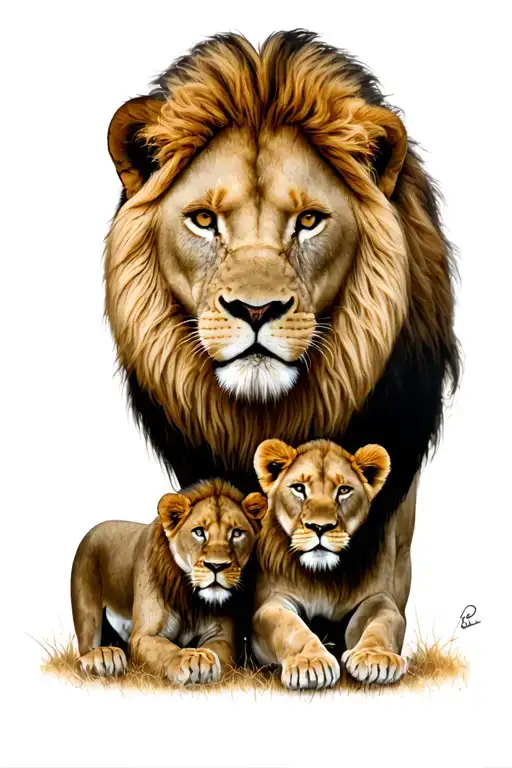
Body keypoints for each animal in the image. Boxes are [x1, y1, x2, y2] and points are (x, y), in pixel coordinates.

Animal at [71, 479, 267, 683]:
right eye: (199, 532)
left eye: (237, 533)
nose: (216, 566)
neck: (191, 600)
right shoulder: (144, 635)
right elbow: (166, 650)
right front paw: (191, 659)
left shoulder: (222, 636)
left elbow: (219, 649)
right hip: (87, 608)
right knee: (86, 644)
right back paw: (103, 657)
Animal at [252, 437, 409, 688]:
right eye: (299, 488)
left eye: (343, 490)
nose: (320, 526)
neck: (324, 577)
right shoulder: (272, 601)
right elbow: (290, 627)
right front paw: (310, 663)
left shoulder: (378, 598)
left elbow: (382, 624)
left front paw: (375, 658)